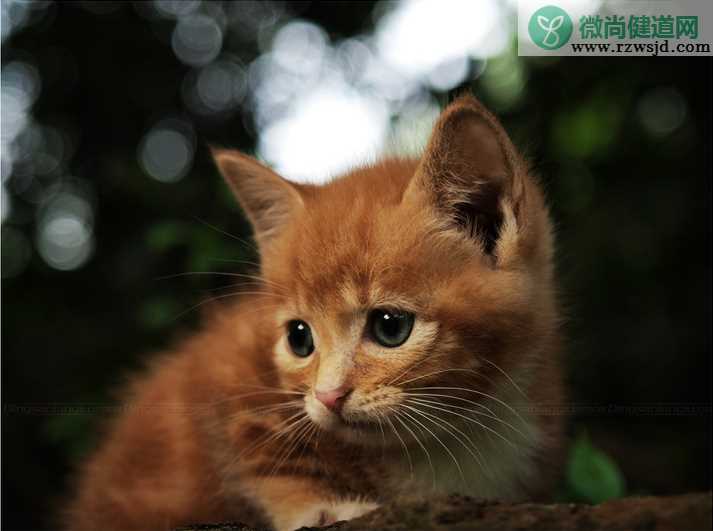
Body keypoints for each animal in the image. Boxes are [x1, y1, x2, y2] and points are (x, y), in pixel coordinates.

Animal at [64, 95, 564, 531]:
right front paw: (323, 505)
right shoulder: (215, 375)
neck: (450, 438)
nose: (327, 397)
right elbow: (255, 452)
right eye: (299, 338)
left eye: (390, 327)